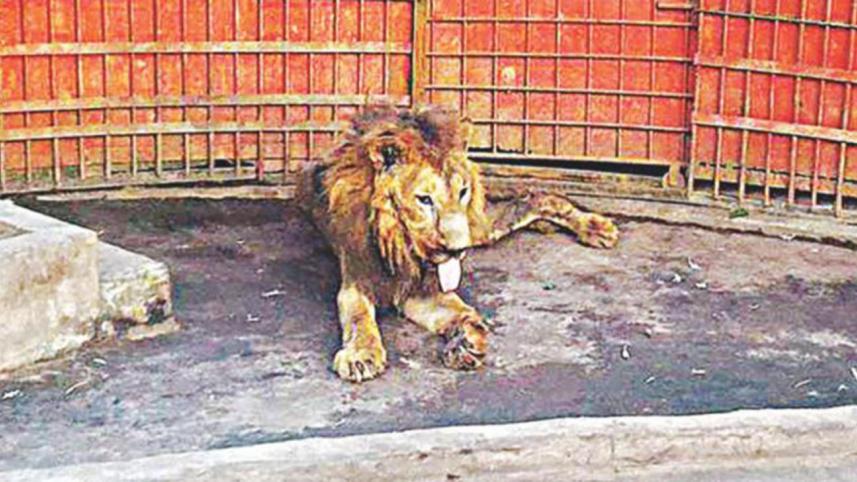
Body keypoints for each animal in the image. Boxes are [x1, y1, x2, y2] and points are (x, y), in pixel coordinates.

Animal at [297, 104, 619, 382]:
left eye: (462, 191)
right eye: (424, 199)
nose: (458, 250)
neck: (400, 244)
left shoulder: (425, 291)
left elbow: (463, 312)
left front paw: (467, 341)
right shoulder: (357, 280)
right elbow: (359, 317)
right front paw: (360, 355)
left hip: (479, 228)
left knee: (541, 197)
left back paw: (595, 227)